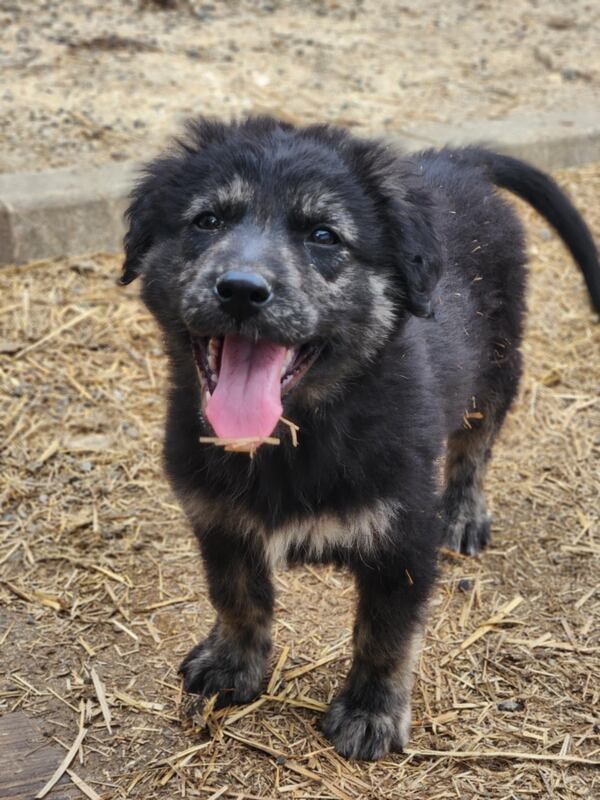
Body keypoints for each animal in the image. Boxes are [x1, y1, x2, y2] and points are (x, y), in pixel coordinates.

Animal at [118, 115, 600, 760]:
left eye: (324, 235)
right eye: (207, 221)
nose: (240, 290)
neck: (297, 437)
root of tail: (456, 159)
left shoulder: (405, 540)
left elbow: (385, 635)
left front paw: (372, 713)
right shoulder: (218, 519)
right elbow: (236, 595)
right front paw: (233, 664)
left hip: (497, 368)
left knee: (475, 446)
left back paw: (465, 511)